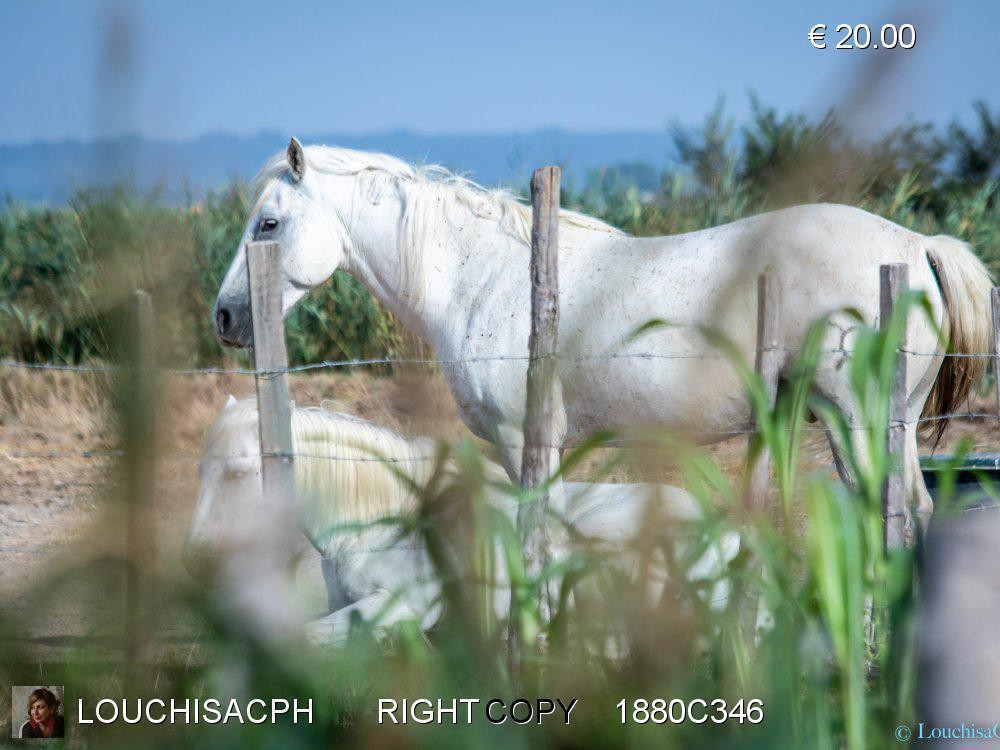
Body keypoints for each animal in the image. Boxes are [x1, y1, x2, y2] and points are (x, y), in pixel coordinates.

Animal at [211, 141, 992, 528]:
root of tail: (919, 245)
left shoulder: (529, 444)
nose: (224, 317)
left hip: (858, 422)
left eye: (268, 223)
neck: (480, 276)